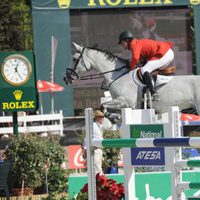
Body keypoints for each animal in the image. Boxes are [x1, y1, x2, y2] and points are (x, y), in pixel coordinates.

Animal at [63, 43, 200, 115]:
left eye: (74, 59)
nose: (66, 78)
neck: (117, 75)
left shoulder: (125, 101)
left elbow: (103, 105)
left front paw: (112, 117)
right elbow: (104, 106)